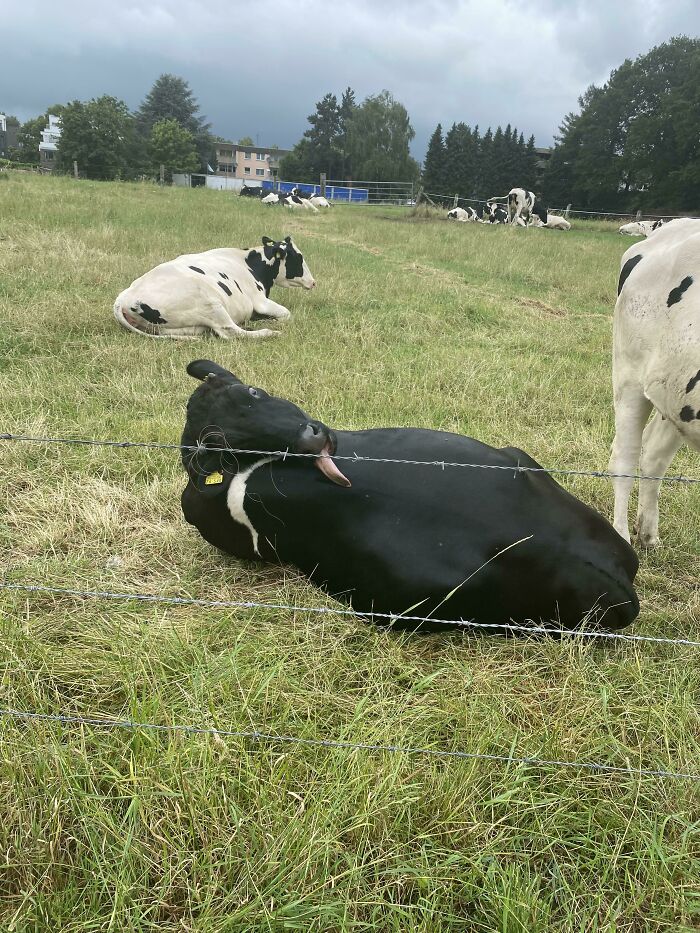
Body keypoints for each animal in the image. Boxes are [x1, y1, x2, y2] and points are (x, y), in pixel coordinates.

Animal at [113, 237, 315, 340]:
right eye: (298, 258)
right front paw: (274, 323)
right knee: (230, 331)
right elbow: (286, 313)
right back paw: (268, 332)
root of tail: (123, 298)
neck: (251, 264)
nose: (313, 282)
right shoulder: (260, 301)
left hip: (180, 328)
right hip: (210, 304)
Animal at [609, 217, 700, 546]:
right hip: (629, 375)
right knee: (625, 456)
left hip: (675, 394)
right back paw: (622, 537)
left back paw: (648, 533)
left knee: (653, 456)